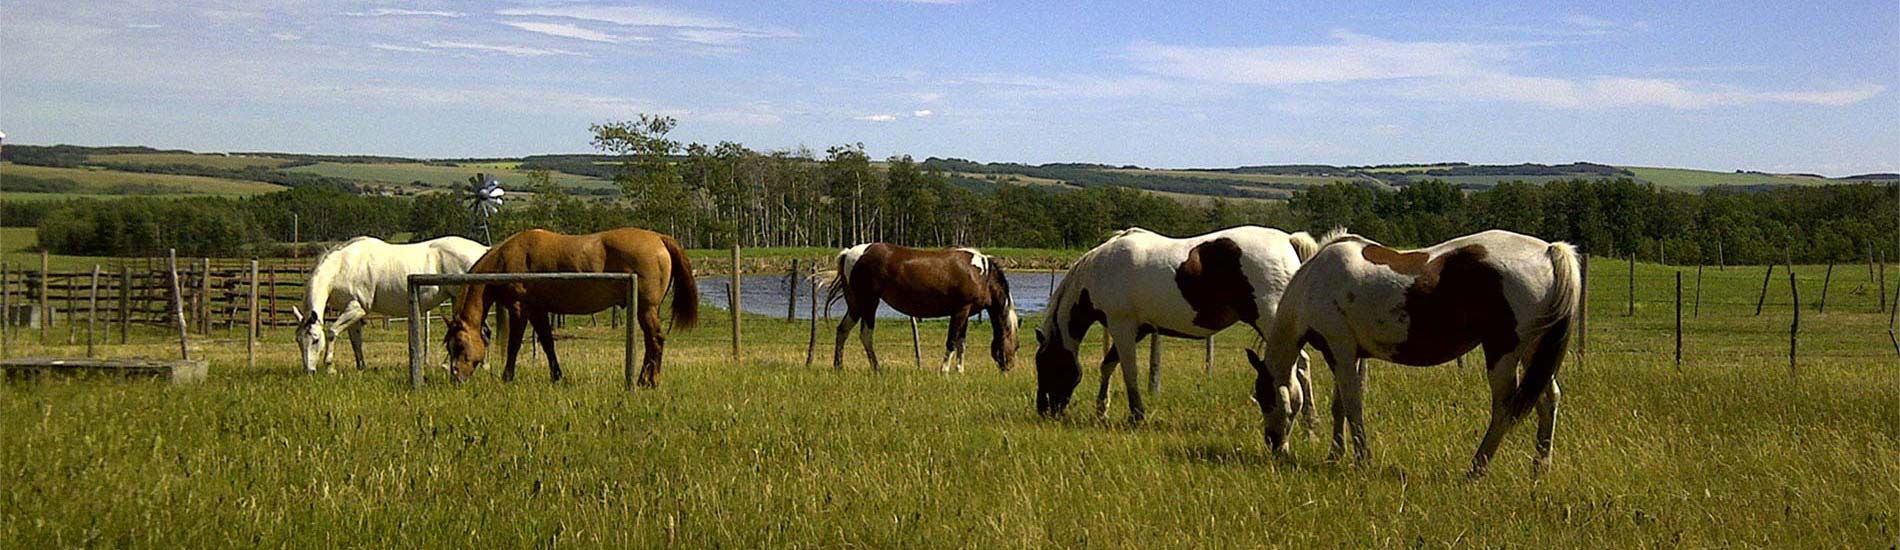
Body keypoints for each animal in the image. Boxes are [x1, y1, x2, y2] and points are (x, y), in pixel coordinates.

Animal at [292, 235, 490, 373]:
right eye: (299, 341)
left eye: (315, 340)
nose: (309, 371)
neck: (343, 266)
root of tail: (484, 250)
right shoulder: (350, 310)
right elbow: (356, 341)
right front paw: (361, 367)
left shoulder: (357, 309)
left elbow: (332, 332)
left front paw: (330, 368)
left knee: (481, 332)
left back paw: (480, 366)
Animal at [440, 226, 703, 384]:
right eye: (449, 347)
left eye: (460, 345)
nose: (456, 378)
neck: (506, 260)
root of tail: (659, 238)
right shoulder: (538, 310)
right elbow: (547, 344)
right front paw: (557, 376)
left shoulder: (520, 309)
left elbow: (514, 345)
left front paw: (507, 377)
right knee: (651, 342)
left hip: (646, 309)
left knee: (656, 339)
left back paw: (649, 381)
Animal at [824, 243, 1018, 373]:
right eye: (1016, 347)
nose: (1008, 368)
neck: (982, 274)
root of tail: (850, 253)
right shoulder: (960, 311)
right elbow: (952, 341)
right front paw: (944, 371)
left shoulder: (966, 313)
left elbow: (961, 343)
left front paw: (960, 371)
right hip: (869, 302)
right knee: (866, 335)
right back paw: (877, 368)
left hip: (856, 305)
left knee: (842, 330)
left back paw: (838, 367)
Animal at [1033, 224, 1314, 422]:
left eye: (1045, 365)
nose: (1044, 409)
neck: (1099, 270)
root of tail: (1288, 240)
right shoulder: (1137, 330)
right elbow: (1108, 365)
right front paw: (1102, 410)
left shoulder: (1122, 326)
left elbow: (1129, 370)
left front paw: (1137, 415)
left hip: (1271, 322)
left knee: (1300, 365)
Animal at [1254, 226, 1580, 475]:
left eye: (1264, 399)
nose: (1273, 445)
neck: (1314, 281)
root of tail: (1549, 250)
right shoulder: (1351, 355)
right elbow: (1340, 407)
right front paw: (1335, 454)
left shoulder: (1340, 351)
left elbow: (1352, 405)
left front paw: (1362, 459)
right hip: (1533, 353)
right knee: (1548, 400)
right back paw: (1540, 467)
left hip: (1504, 354)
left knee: (1503, 408)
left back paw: (1476, 468)